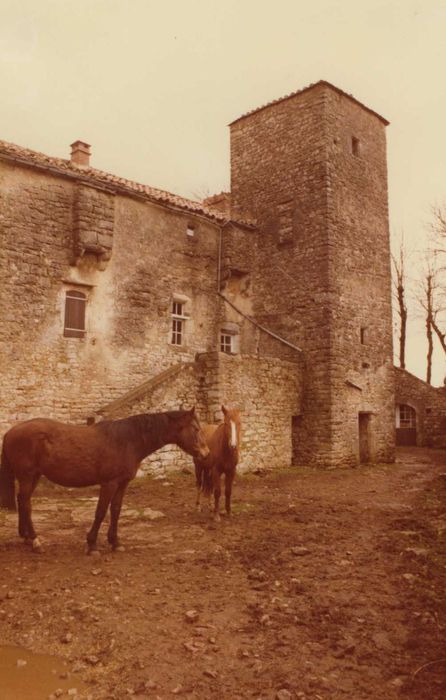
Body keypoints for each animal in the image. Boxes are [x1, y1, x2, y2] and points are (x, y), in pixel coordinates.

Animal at [0, 404, 209, 552]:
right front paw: (92, 544)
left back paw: (26, 537)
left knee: (23, 501)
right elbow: (100, 512)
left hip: (34, 476)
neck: (127, 440)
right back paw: (35, 541)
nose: (206, 453)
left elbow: (115, 510)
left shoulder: (122, 484)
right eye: (195, 429)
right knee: (26, 504)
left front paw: (115, 542)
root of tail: (10, 432)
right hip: (27, 476)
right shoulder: (109, 484)